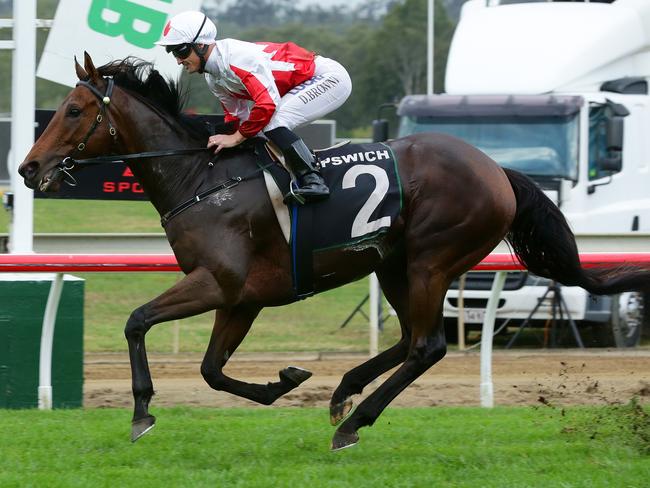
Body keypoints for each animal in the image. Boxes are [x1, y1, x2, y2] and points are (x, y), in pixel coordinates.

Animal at [17, 53, 648, 450]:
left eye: (74, 110)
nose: (27, 167)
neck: (201, 177)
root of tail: (496, 169)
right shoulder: (241, 298)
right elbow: (211, 370)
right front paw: (285, 380)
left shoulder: (216, 282)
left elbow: (137, 321)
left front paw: (142, 411)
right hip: (394, 264)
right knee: (409, 340)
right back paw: (343, 391)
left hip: (431, 258)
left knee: (427, 346)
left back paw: (355, 421)